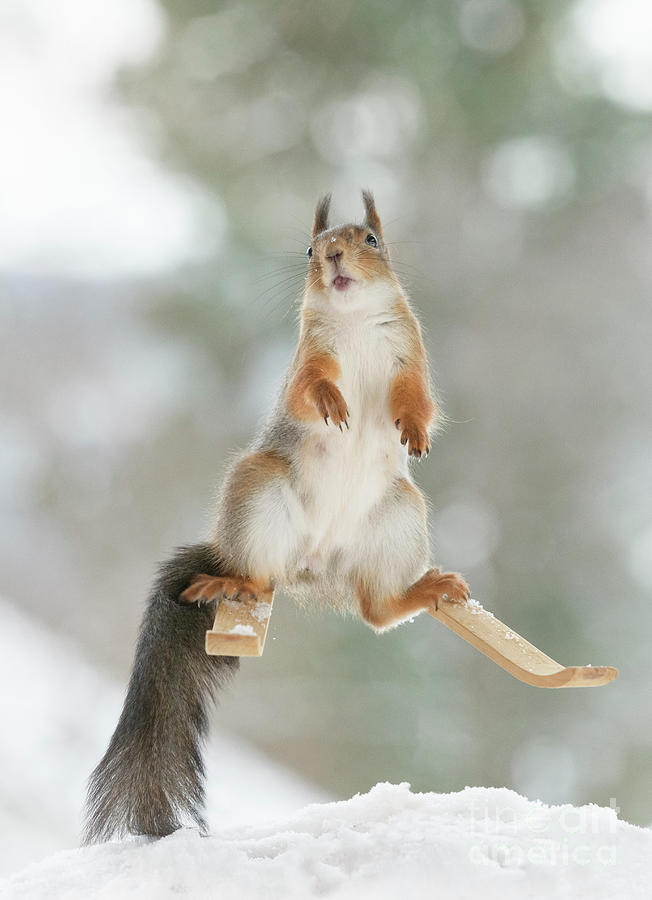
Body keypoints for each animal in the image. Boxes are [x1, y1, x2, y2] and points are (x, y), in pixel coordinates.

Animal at [83, 191, 470, 844]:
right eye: (310, 249)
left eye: (371, 240)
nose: (334, 256)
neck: (353, 322)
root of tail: (312, 567)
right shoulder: (307, 357)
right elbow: (306, 390)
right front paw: (333, 401)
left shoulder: (410, 354)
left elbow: (418, 397)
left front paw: (414, 430)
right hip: (260, 490)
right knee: (259, 577)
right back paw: (233, 581)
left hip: (400, 515)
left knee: (376, 612)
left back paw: (418, 591)